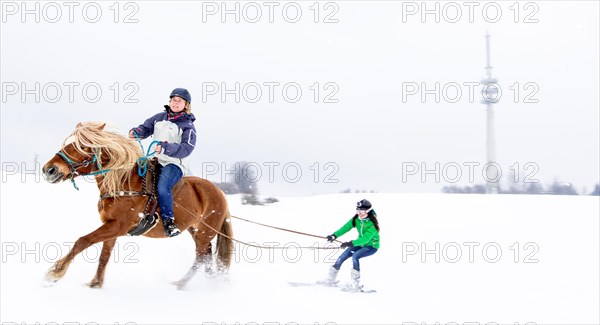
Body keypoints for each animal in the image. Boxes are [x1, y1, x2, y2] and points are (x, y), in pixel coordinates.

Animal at [42, 122, 233, 288]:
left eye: (84, 147)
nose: (49, 170)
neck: (123, 183)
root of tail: (220, 193)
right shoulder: (111, 226)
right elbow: (104, 255)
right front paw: (95, 283)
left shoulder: (118, 226)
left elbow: (83, 240)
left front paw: (55, 273)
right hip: (195, 229)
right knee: (206, 256)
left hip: (204, 232)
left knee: (202, 256)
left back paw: (184, 284)